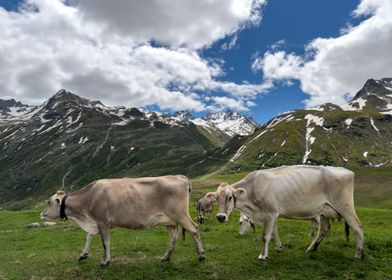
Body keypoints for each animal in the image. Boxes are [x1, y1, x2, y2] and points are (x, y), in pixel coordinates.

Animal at [40, 176, 205, 266]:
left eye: (48, 202)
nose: (42, 214)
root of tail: (181, 177)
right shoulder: (95, 223)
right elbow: (89, 237)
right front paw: (83, 255)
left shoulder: (102, 221)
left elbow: (105, 243)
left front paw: (105, 261)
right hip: (169, 220)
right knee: (174, 236)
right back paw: (166, 257)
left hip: (180, 214)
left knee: (194, 228)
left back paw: (201, 255)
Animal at [210, 166, 366, 260]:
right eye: (216, 198)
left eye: (230, 197)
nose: (220, 217)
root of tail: (346, 170)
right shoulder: (273, 215)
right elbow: (274, 232)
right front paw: (278, 247)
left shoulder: (269, 214)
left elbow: (265, 236)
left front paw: (262, 256)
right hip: (324, 210)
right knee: (324, 229)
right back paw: (312, 248)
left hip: (345, 207)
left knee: (357, 227)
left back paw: (359, 254)